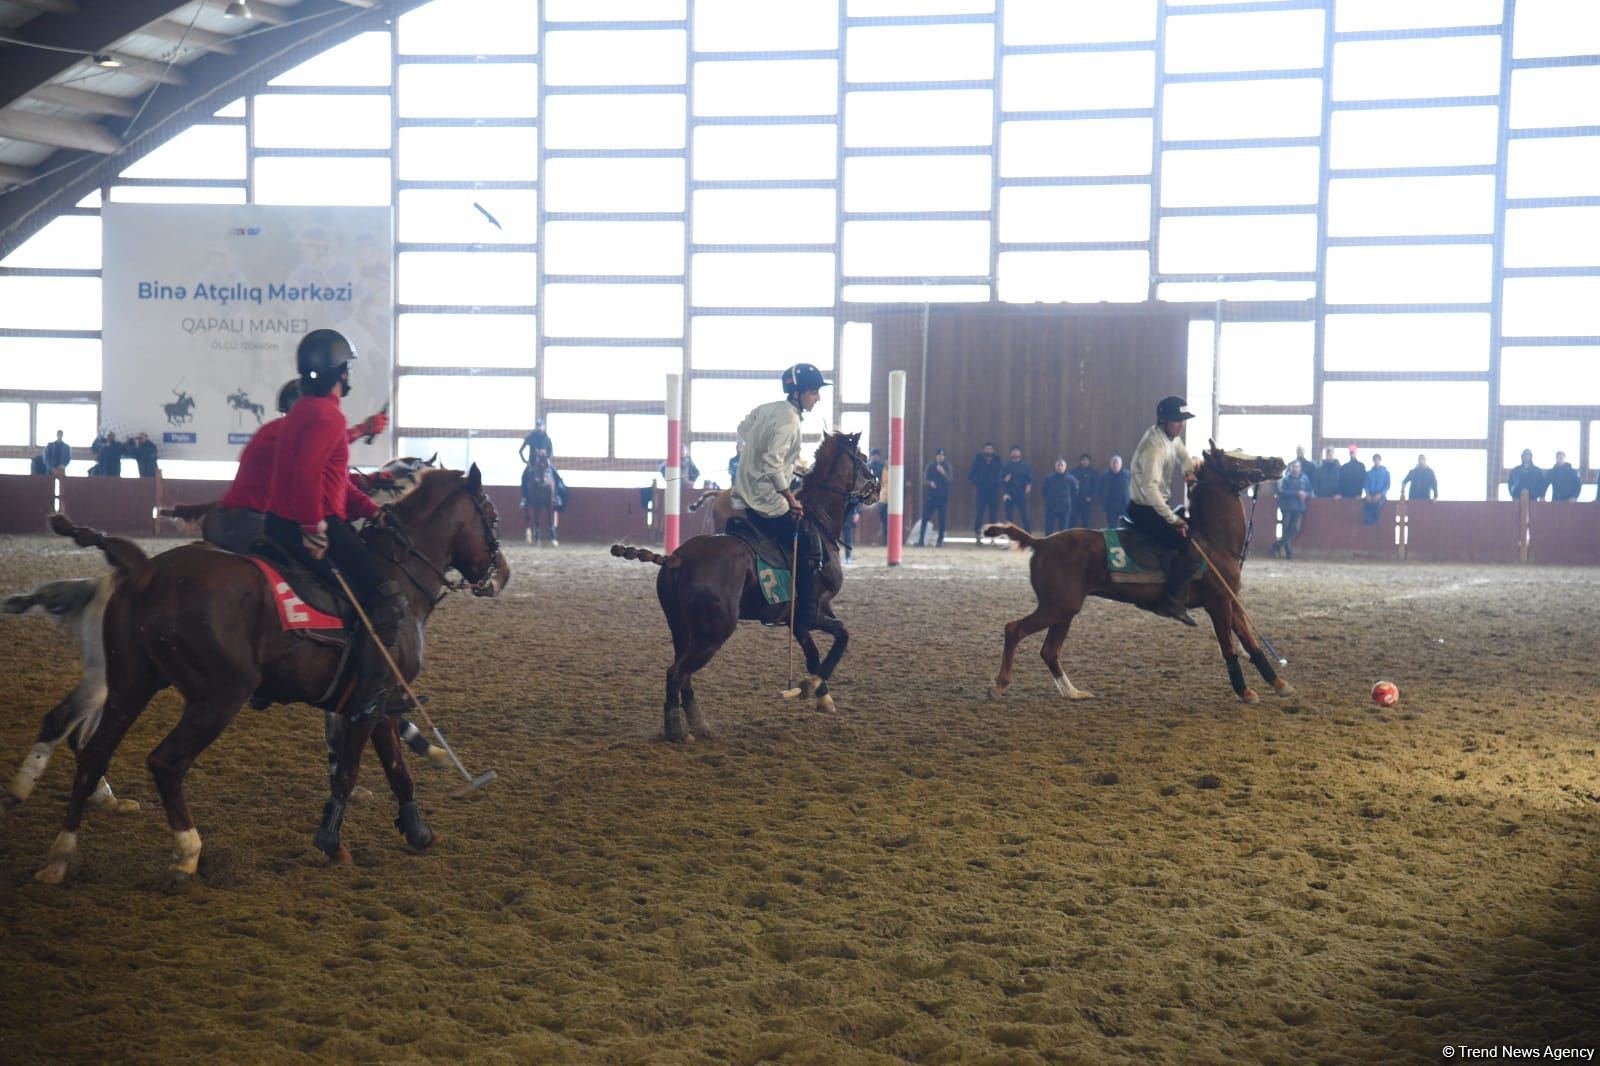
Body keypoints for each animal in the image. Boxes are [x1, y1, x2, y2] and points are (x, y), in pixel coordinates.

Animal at [31, 464, 505, 877]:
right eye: (491, 515)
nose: (501, 575)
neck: (398, 576)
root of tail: (146, 570)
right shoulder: (367, 703)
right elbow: (349, 771)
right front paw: (330, 841)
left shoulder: (381, 702)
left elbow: (398, 770)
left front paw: (418, 830)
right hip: (218, 696)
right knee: (165, 762)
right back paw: (188, 851)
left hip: (131, 684)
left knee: (93, 755)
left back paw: (60, 856)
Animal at [614, 428, 889, 739]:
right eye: (863, 457)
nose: (878, 488)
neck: (819, 523)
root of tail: (677, 558)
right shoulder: (812, 612)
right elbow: (842, 636)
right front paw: (812, 685)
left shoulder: (799, 618)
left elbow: (814, 653)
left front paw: (822, 696)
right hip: (713, 632)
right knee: (677, 673)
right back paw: (677, 731)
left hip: (682, 629)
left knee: (682, 673)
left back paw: (699, 724)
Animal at [979, 441, 1292, 701]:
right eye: (1235, 460)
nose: (1278, 461)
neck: (1213, 541)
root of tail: (1042, 542)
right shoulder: (1217, 603)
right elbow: (1229, 646)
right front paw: (1245, 691)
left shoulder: (1231, 601)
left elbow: (1251, 642)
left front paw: (1279, 684)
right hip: (1057, 606)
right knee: (1014, 629)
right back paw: (1000, 684)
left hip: (1065, 609)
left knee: (1049, 651)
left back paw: (1073, 692)